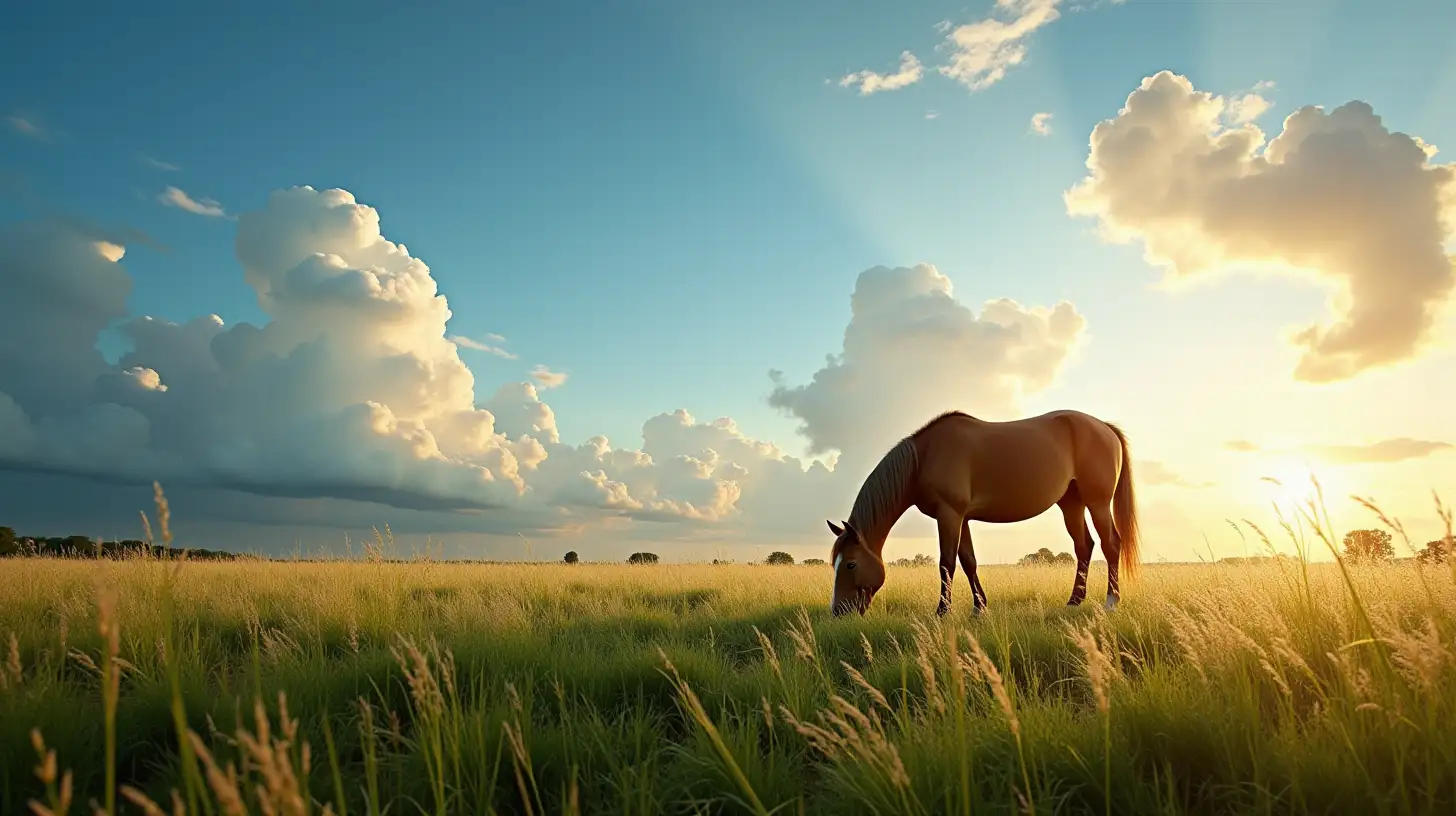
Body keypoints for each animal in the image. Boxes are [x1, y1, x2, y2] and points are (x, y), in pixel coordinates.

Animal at [832, 410, 1135, 614]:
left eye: (851, 564)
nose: (837, 611)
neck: (924, 458)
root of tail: (1105, 428)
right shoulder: (961, 517)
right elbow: (968, 561)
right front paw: (979, 607)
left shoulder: (949, 515)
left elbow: (946, 563)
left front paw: (943, 611)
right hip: (1071, 504)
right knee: (1084, 546)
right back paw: (1074, 601)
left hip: (1098, 503)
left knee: (1110, 544)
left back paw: (1111, 601)